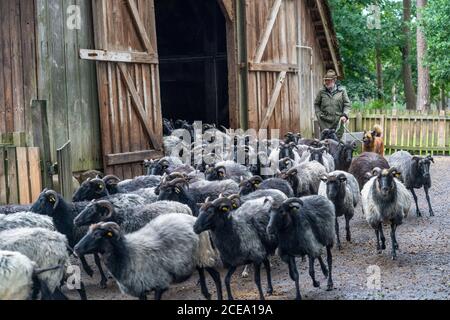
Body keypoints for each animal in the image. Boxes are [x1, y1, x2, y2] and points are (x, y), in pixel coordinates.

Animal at [74, 216, 222, 302]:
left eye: (97, 234)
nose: (75, 248)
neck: (127, 254)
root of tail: (193, 218)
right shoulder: (139, 289)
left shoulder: (160, 284)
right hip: (197, 258)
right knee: (201, 270)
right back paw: (205, 293)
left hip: (203, 253)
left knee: (216, 276)